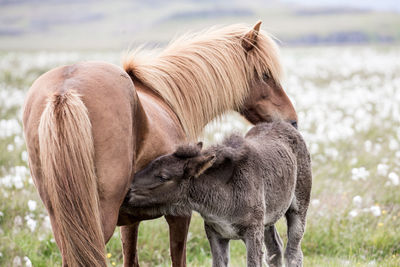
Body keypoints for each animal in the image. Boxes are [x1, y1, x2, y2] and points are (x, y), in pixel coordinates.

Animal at [22, 21, 296, 267]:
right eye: (265, 74)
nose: (291, 120)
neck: (163, 96)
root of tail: (65, 91)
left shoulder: (129, 221)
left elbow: (131, 259)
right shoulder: (180, 214)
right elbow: (178, 259)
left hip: (65, 223)